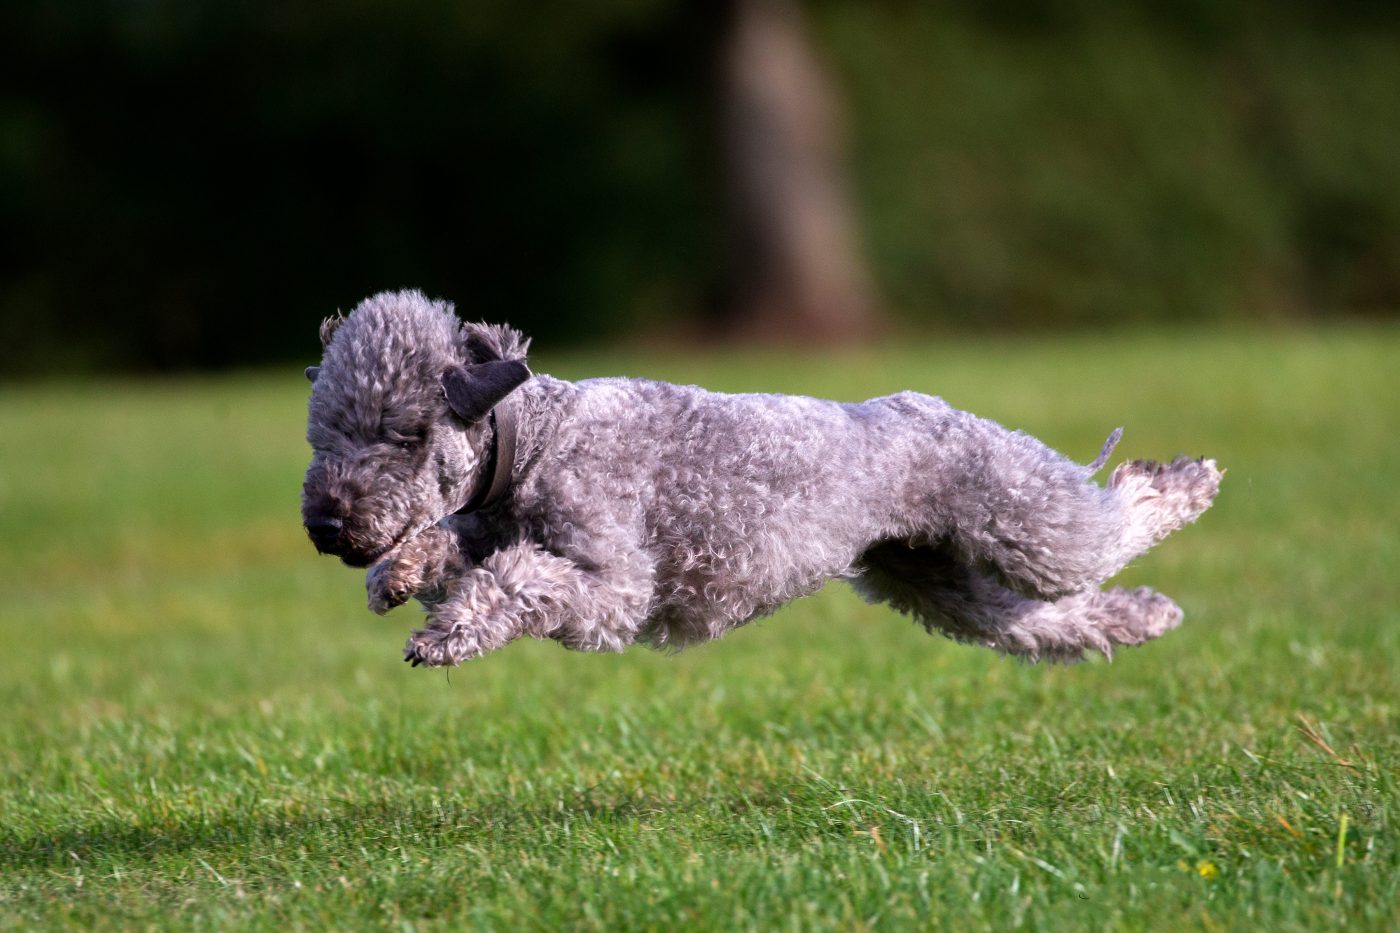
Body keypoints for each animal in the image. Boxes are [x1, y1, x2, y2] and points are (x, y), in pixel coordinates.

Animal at [301, 288, 1220, 661]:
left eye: (405, 432)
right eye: (323, 433)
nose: (328, 524)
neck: (538, 442)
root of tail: (934, 406)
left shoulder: (615, 585)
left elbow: (521, 579)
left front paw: (447, 631)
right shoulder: (489, 522)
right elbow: (457, 545)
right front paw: (400, 573)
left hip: (1023, 517)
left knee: (1110, 522)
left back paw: (1187, 480)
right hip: (932, 578)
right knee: (1046, 623)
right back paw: (1148, 617)